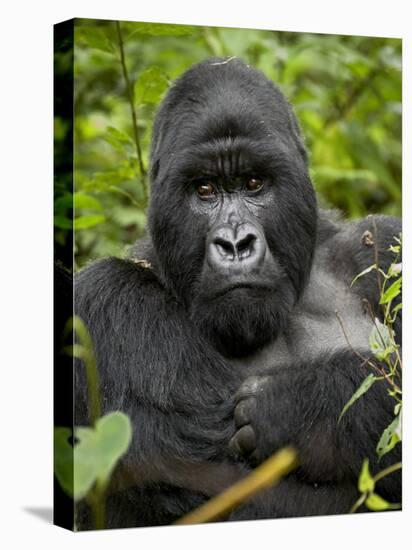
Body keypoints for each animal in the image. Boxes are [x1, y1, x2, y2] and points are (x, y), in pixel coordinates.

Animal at [73, 57, 400, 532]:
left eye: (253, 183)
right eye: (204, 189)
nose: (234, 243)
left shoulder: (385, 245)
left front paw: (304, 408)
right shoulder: (105, 302)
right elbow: (223, 493)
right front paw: (335, 407)